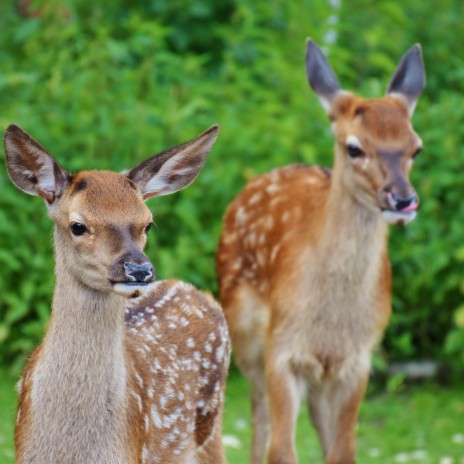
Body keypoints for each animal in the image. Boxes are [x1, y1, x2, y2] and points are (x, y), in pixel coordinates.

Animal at [216, 40, 426, 464]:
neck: (331, 321)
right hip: (245, 335)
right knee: (259, 415)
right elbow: (281, 449)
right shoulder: (282, 349)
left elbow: (343, 450)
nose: (402, 199)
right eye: (354, 147)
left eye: (416, 148)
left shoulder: (357, 359)